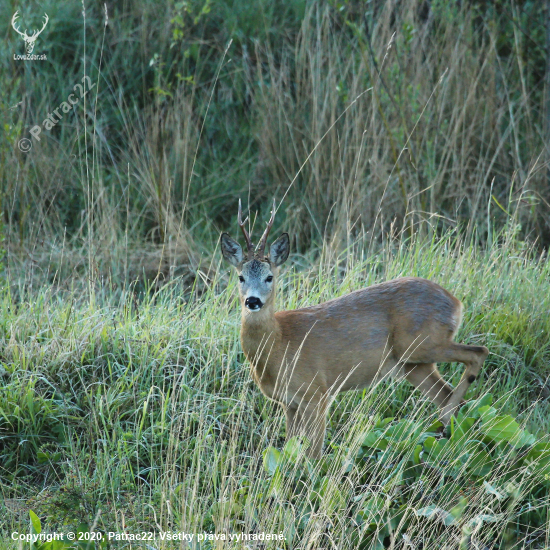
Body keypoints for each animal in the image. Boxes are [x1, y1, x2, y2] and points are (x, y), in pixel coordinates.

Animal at [222, 201, 490, 460]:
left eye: (269, 277)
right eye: (240, 277)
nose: (253, 301)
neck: (278, 345)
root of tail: (456, 303)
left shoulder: (317, 392)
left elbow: (314, 455)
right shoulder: (290, 403)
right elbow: (290, 449)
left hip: (423, 343)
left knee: (478, 352)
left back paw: (450, 424)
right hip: (412, 364)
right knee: (446, 393)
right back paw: (449, 428)